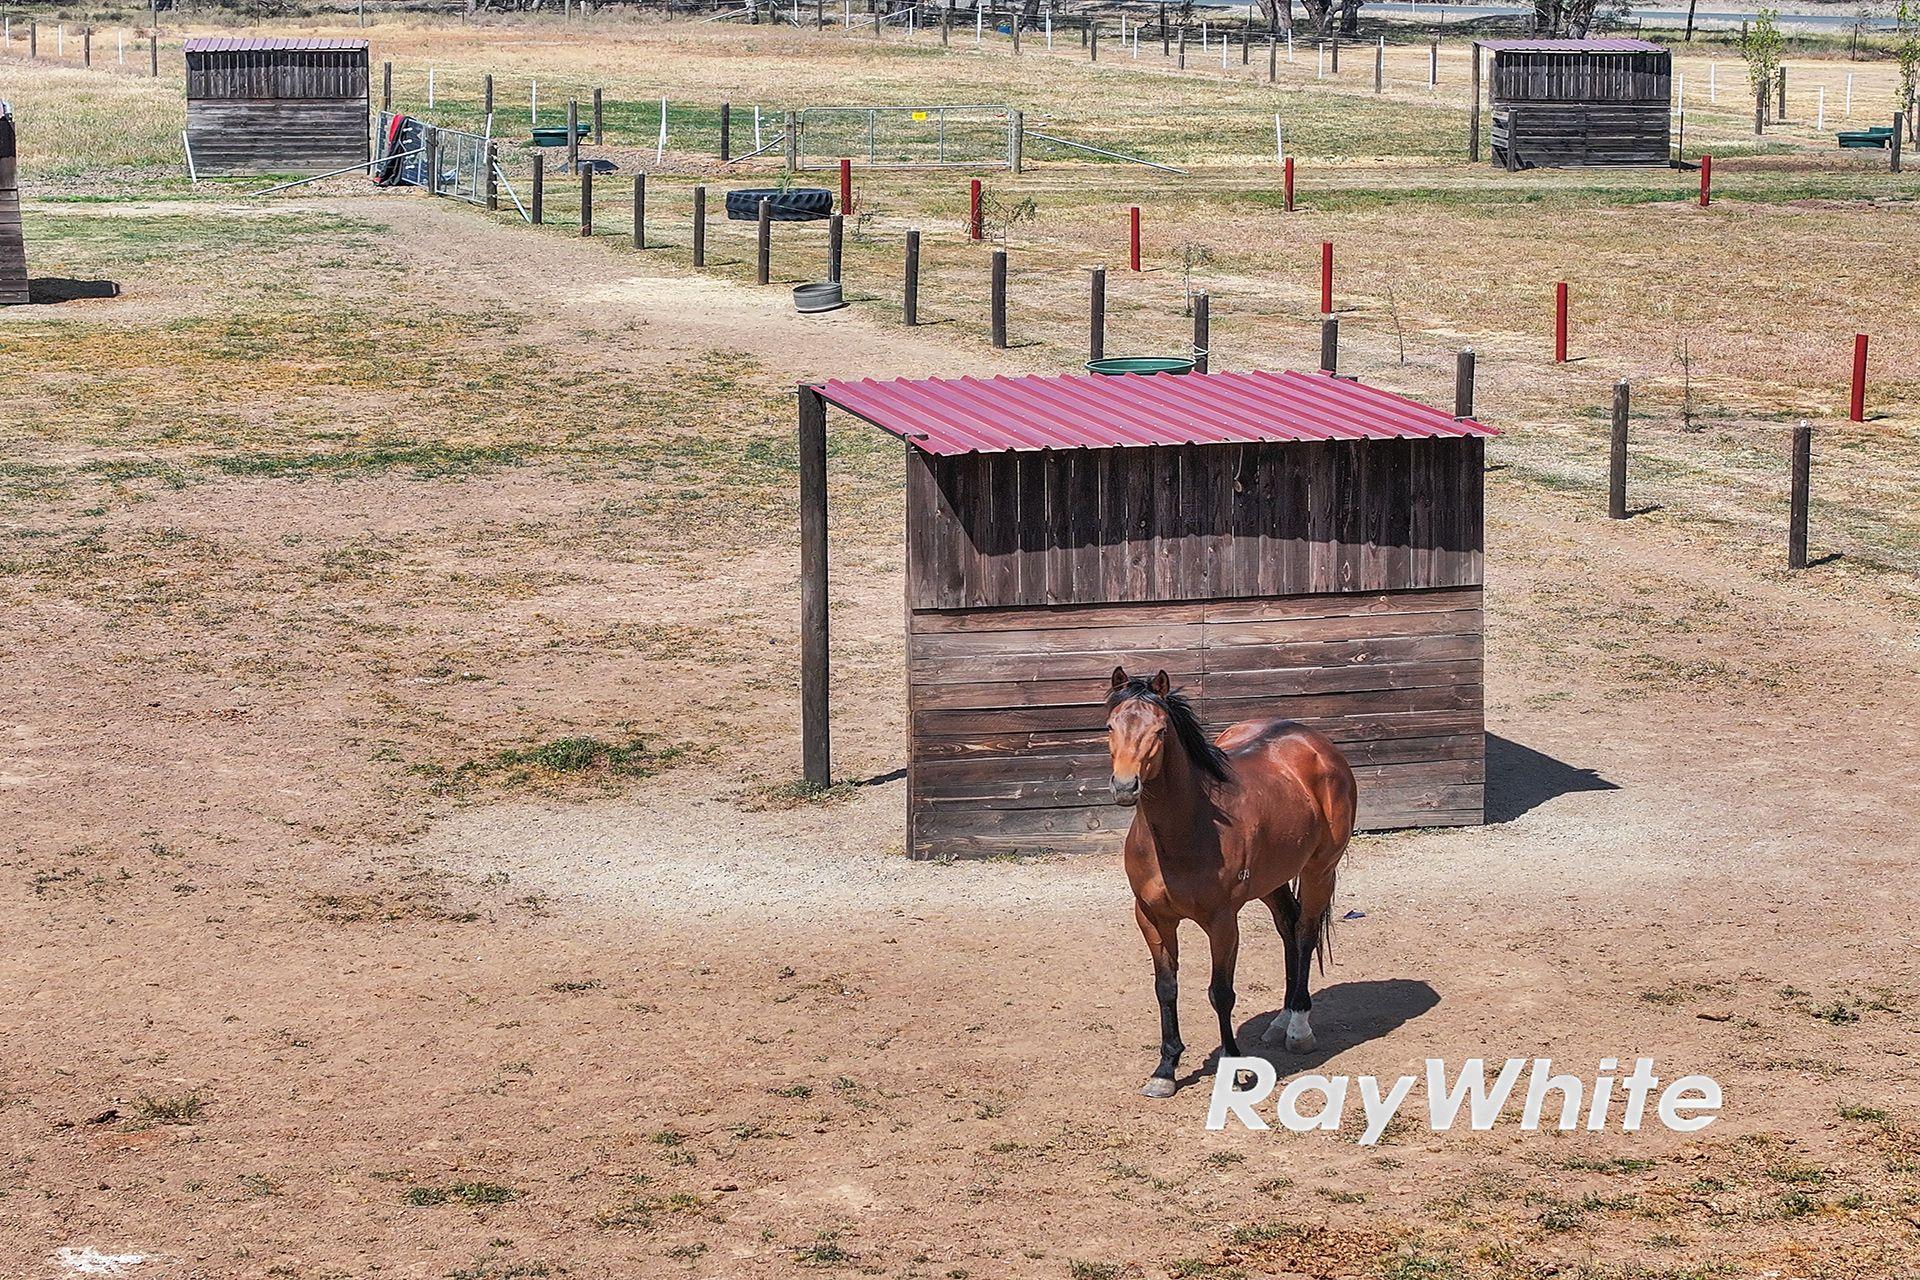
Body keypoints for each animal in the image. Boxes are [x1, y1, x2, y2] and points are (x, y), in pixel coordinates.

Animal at [1106, 667, 1357, 1098]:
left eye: (1159, 731)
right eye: (1109, 726)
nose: (1125, 787)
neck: (1186, 831)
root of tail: (1317, 744)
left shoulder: (1222, 922)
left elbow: (1220, 993)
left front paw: (1235, 1067)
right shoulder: (1152, 918)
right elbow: (1166, 987)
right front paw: (1165, 1069)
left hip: (1318, 871)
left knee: (1305, 933)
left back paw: (1298, 1027)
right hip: (1273, 879)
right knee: (1289, 928)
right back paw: (1281, 1019)